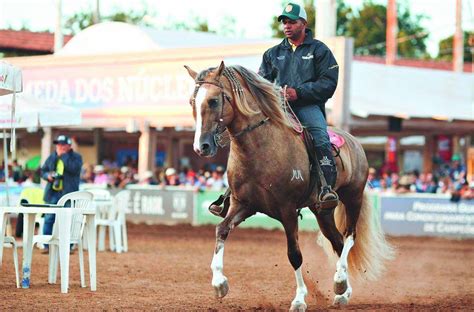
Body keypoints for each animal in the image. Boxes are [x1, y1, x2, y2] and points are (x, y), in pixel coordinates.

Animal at [184, 61, 392, 310]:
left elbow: (294, 254)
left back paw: (340, 281)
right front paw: (219, 283)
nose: (201, 147)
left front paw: (299, 298)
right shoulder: (243, 205)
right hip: (322, 211)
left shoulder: (288, 210)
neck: (260, 149)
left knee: (350, 236)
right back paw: (343, 292)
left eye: (214, 101)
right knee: (338, 241)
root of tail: (355, 142)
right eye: (192, 101)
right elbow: (221, 230)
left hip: (353, 198)